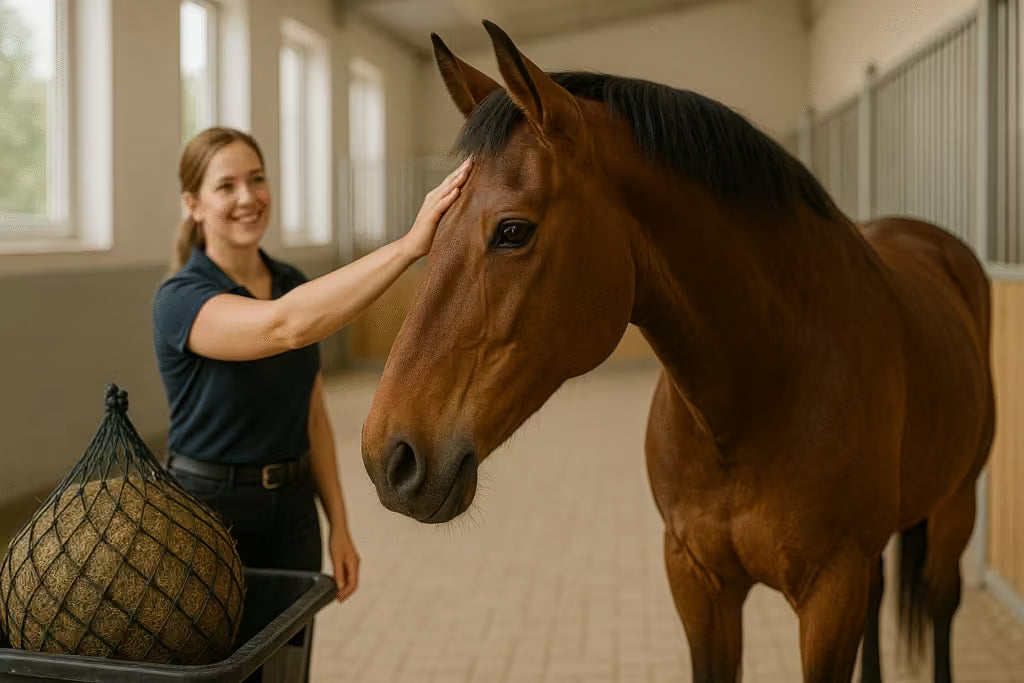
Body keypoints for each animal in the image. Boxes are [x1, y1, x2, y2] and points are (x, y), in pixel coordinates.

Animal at [360, 20, 995, 683]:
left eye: (513, 230)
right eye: (434, 224)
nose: (389, 457)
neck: (760, 392)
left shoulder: (831, 591)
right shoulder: (697, 580)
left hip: (956, 505)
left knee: (942, 601)